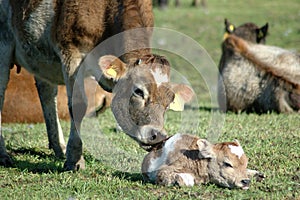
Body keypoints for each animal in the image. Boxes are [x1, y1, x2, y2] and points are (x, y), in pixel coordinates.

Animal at [0, 0, 193, 170]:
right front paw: (75, 160)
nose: (159, 136)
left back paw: (59, 147)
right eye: (138, 91)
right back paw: (3, 154)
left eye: (170, 101)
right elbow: (78, 105)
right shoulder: (72, 52)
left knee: (46, 92)